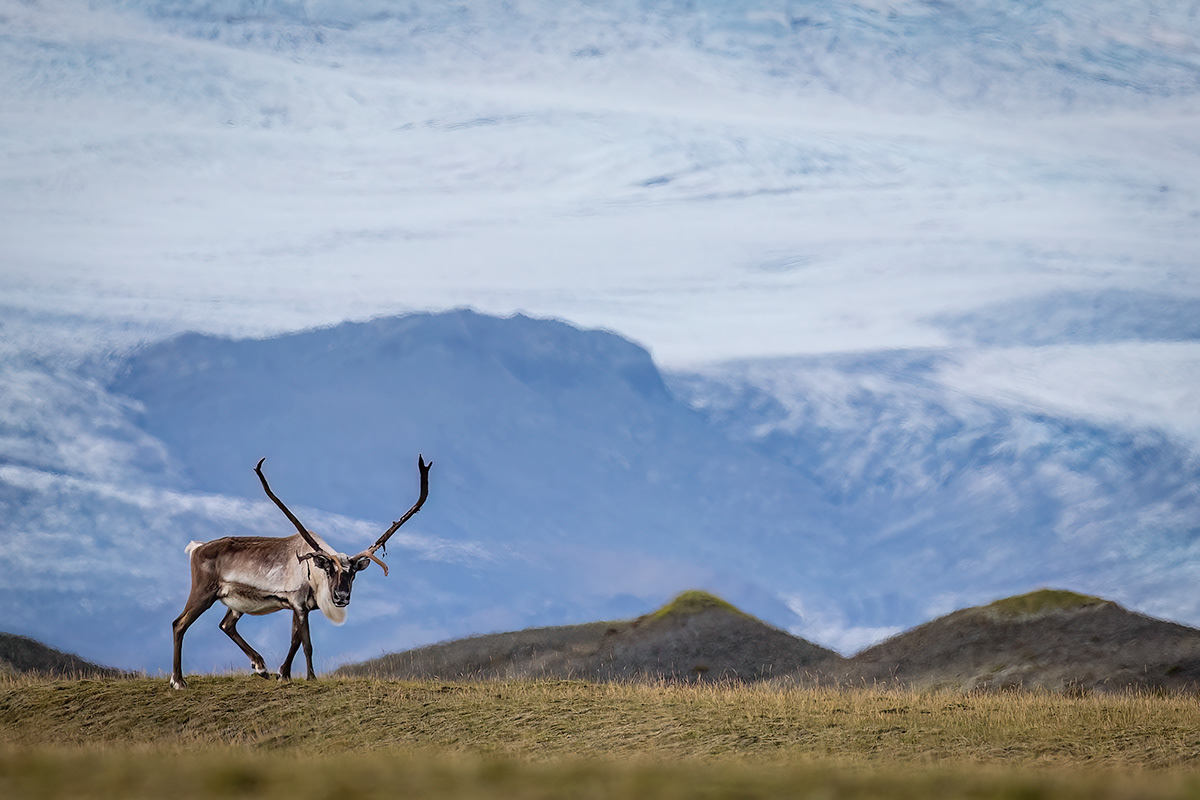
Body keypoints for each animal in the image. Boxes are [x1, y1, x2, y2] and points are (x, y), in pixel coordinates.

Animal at [169, 454, 431, 689]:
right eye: (329, 570)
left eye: (353, 573)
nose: (341, 597)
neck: (315, 578)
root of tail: (197, 547)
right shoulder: (298, 604)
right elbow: (306, 644)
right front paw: (310, 677)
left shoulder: (299, 607)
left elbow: (294, 640)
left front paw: (282, 674)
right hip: (203, 592)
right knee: (179, 623)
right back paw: (178, 681)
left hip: (235, 603)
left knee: (226, 625)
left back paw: (260, 666)